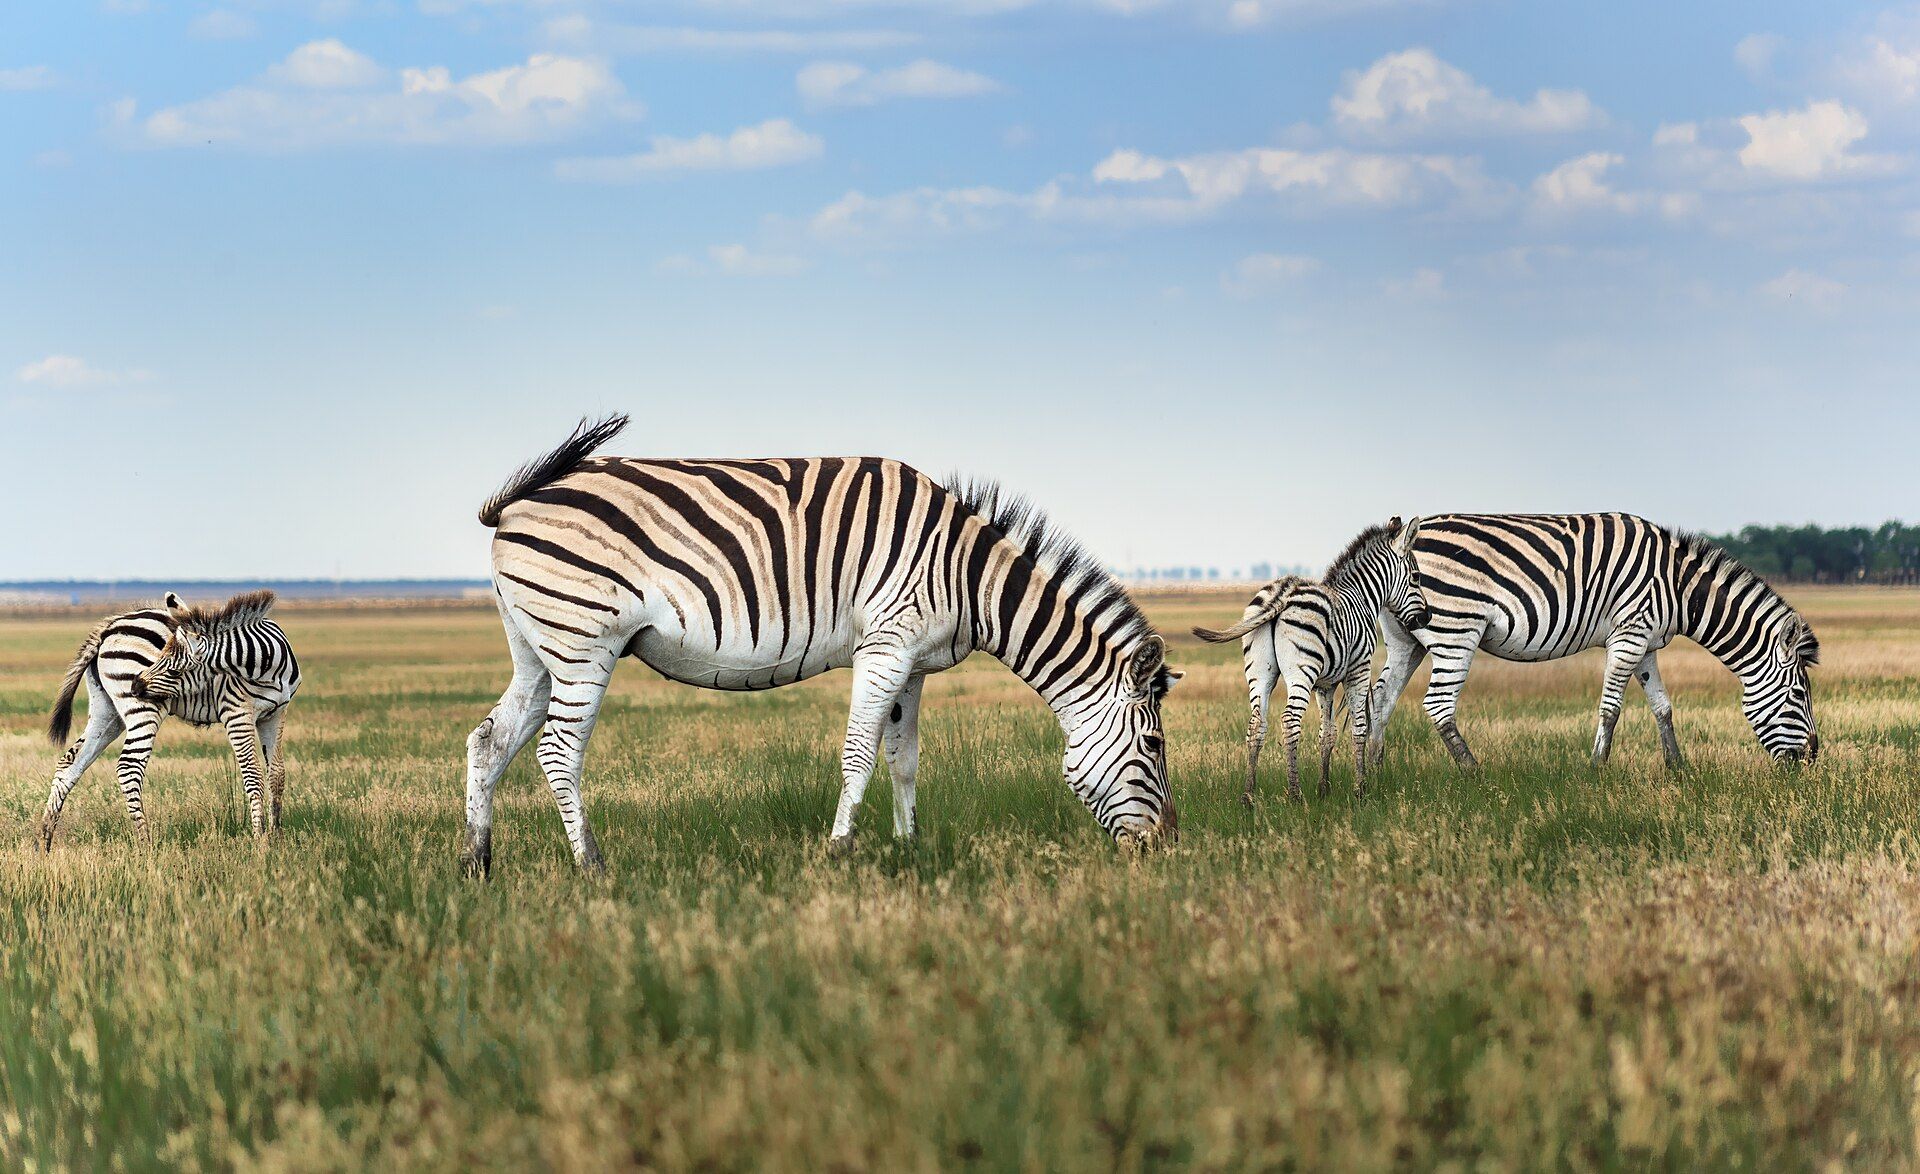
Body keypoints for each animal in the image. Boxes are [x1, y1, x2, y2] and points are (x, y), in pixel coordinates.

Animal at [41, 591, 299, 849]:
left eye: (175, 671)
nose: (135, 686)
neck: (267, 668)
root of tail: (109, 627)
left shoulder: (276, 714)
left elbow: (277, 774)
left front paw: (277, 837)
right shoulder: (235, 711)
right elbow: (253, 774)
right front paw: (260, 841)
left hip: (107, 712)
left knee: (70, 764)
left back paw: (43, 841)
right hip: (143, 710)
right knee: (128, 767)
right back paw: (145, 844)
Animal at [464, 413, 1182, 872]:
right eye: (1153, 745)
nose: (1169, 849)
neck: (965, 574)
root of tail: (516, 502)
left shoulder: (913, 666)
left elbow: (904, 758)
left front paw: (908, 851)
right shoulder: (885, 646)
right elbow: (859, 754)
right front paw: (841, 852)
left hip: (539, 651)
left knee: (489, 740)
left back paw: (478, 864)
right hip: (584, 642)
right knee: (558, 752)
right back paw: (592, 867)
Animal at [1190, 518, 1436, 803]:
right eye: (1416, 577)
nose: (1427, 617)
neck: (1363, 597)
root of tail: (1284, 589)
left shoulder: (1325, 684)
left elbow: (1327, 733)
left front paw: (1324, 789)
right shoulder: (1359, 669)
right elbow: (1359, 727)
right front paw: (1360, 790)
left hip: (1260, 671)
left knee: (1256, 724)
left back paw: (1248, 797)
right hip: (1302, 671)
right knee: (1290, 721)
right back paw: (1295, 795)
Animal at [1359, 511, 1820, 772]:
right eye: (1799, 695)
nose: (1812, 759)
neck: (1675, 586)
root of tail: (1399, 541)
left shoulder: (1645, 642)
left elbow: (1663, 707)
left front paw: (1679, 770)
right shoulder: (1629, 633)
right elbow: (1611, 708)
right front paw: (1597, 770)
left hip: (1406, 639)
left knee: (1381, 699)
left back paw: (1380, 774)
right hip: (1457, 629)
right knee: (1438, 705)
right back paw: (1476, 774)